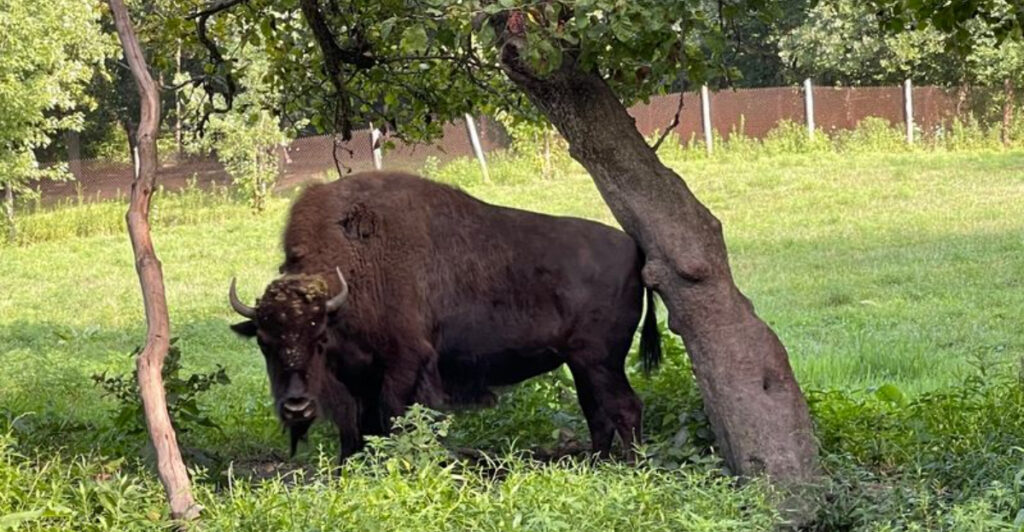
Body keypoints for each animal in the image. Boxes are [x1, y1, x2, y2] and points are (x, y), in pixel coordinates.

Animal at [229, 171, 661, 459]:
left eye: (318, 339)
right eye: (264, 343)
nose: (296, 407)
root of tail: (634, 247)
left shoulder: (404, 364)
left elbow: (393, 419)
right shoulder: (358, 378)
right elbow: (358, 431)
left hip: (601, 361)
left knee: (625, 408)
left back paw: (631, 465)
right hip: (582, 363)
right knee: (598, 412)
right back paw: (597, 462)